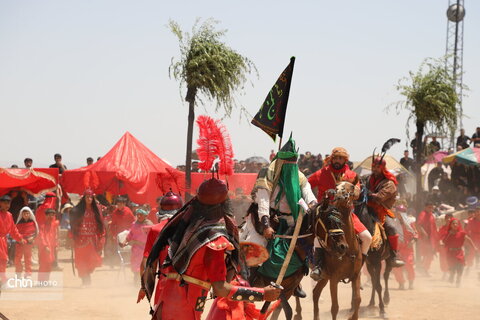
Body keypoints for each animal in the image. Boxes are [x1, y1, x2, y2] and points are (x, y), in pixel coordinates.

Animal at [312, 182, 364, 320]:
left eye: (351, 187)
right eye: (337, 187)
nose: (339, 196)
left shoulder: (356, 275)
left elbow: (357, 299)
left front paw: (353, 316)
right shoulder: (334, 279)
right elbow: (335, 307)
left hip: (324, 278)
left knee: (315, 293)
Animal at [354, 181, 392, 316]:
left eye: (360, 187)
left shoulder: (377, 262)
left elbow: (379, 284)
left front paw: (382, 310)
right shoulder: (369, 262)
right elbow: (375, 283)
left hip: (387, 259)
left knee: (385, 276)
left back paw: (386, 298)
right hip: (369, 263)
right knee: (374, 280)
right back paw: (371, 303)